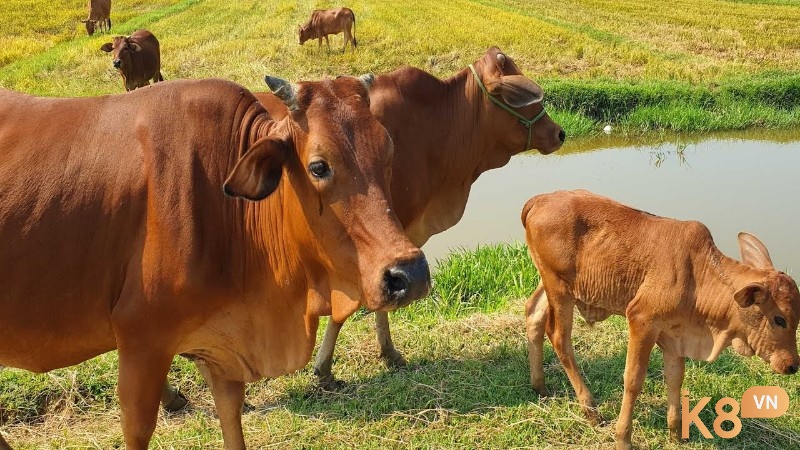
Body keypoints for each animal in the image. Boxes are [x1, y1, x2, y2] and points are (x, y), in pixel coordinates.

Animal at [0, 75, 432, 448]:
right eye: (319, 166)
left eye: (388, 151)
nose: (408, 273)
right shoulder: (141, 343)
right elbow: (138, 429)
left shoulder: (222, 343)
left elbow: (231, 415)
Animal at [520, 190, 796, 450]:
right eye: (780, 319)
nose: (793, 365)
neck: (698, 275)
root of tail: (539, 200)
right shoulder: (641, 319)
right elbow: (633, 380)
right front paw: (623, 439)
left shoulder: (675, 336)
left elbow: (675, 379)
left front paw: (676, 433)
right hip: (560, 289)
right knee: (558, 337)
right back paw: (591, 411)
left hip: (549, 282)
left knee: (533, 313)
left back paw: (539, 387)